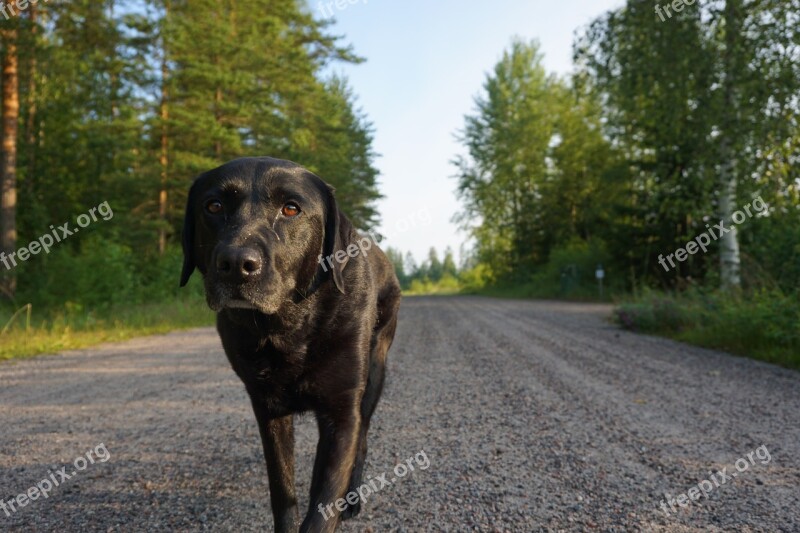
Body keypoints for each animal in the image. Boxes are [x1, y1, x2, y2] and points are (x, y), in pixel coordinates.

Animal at [182, 156, 404, 528]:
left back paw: (353, 498)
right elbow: (283, 491)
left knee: (362, 441)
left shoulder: (342, 413)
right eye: (213, 206)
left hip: (375, 373)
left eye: (290, 209)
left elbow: (323, 507)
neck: (289, 327)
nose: (236, 264)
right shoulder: (267, 411)